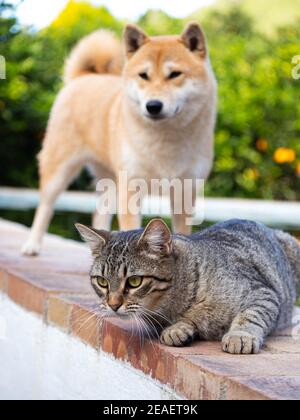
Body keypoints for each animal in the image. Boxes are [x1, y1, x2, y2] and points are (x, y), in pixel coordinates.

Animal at [22, 24, 217, 258]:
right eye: (143, 75)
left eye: (175, 74)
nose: (153, 105)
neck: (166, 140)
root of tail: (83, 77)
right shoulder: (131, 190)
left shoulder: (185, 192)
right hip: (59, 171)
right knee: (45, 206)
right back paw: (32, 245)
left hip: (110, 182)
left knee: (99, 214)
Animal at [76, 220, 298, 354]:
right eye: (102, 282)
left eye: (134, 281)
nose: (113, 305)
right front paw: (180, 328)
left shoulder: (262, 293)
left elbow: (251, 315)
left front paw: (240, 335)